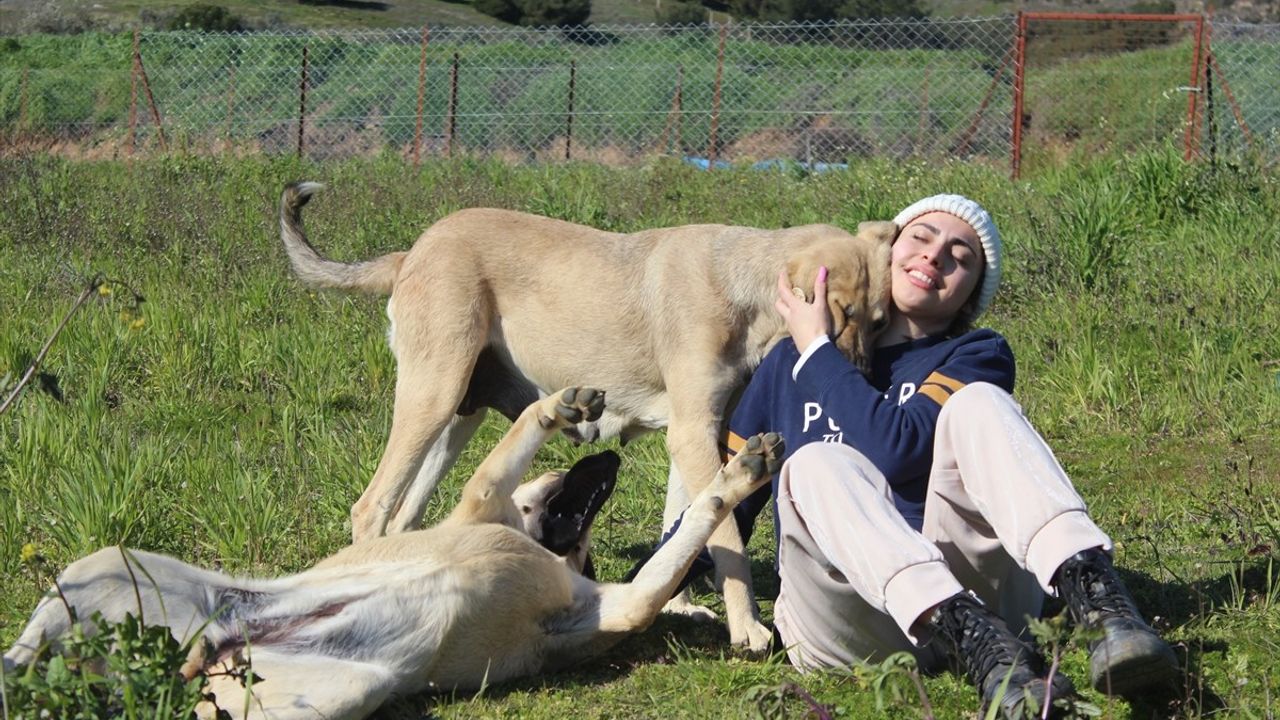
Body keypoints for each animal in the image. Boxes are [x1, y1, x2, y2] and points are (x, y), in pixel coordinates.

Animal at [5, 386, 783, 717]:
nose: (612, 460)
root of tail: (206, 653)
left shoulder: (608, 606)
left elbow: (662, 579)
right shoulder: (481, 500)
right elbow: (503, 456)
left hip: (316, 699)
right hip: (106, 564)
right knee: (25, 646)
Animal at [277, 181, 890, 648]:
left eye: (880, 319)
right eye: (841, 313)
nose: (864, 377)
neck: (743, 285)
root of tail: (412, 251)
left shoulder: (701, 434)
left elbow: (684, 519)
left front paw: (681, 605)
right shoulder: (694, 434)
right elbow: (729, 542)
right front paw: (748, 627)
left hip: (459, 414)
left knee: (407, 514)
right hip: (431, 394)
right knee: (372, 505)